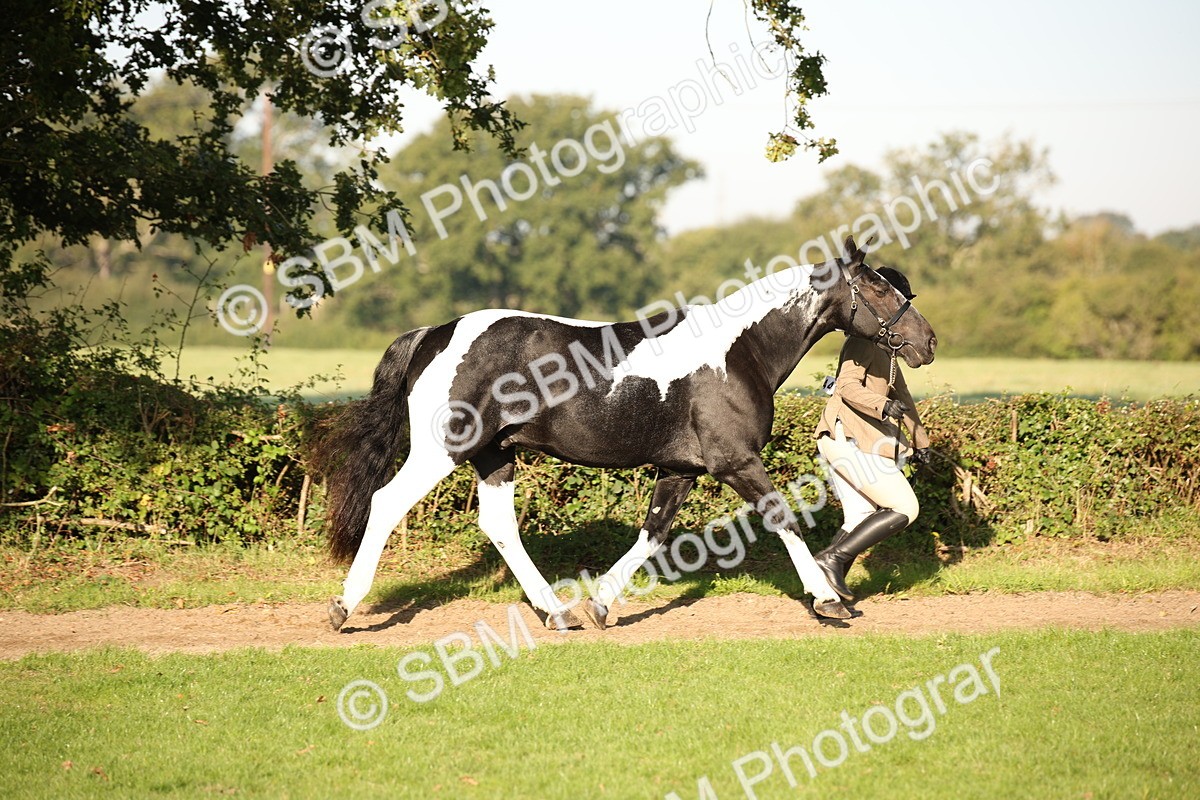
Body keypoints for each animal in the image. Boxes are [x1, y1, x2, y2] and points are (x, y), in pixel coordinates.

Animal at [313, 235, 937, 632]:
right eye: (878, 291)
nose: (927, 342)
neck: (738, 352)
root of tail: (435, 333)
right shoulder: (735, 462)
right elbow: (784, 519)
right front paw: (828, 600)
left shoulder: (681, 469)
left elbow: (653, 534)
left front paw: (601, 606)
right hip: (443, 450)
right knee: (386, 502)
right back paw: (344, 607)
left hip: (496, 455)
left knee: (499, 527)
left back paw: (557, 612)